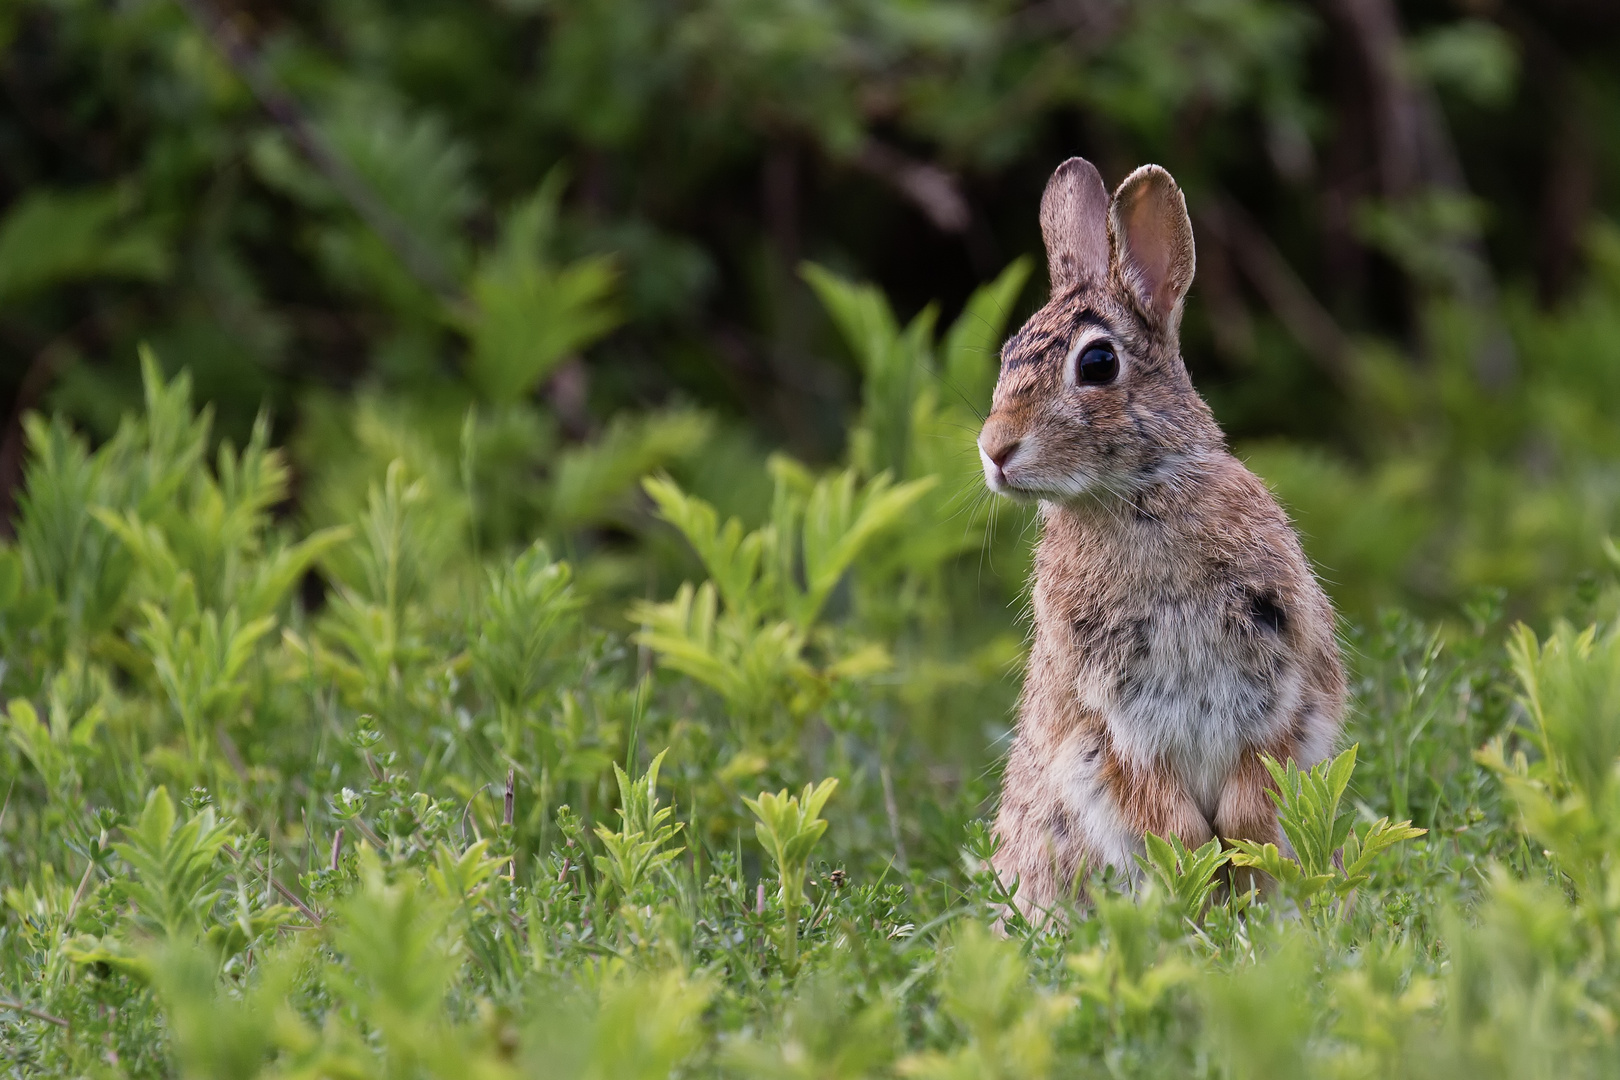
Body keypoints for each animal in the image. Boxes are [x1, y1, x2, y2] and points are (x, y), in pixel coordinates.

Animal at [978, 158, 1347, 919]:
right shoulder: (1105, 721)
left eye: (1096, 365)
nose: (994, 450)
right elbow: (1151, 801)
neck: (1133, 499)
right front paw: (1195, 864)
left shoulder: (1281, 677)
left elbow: (1258, 782)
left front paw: (1242, 858)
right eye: (1007, 356)